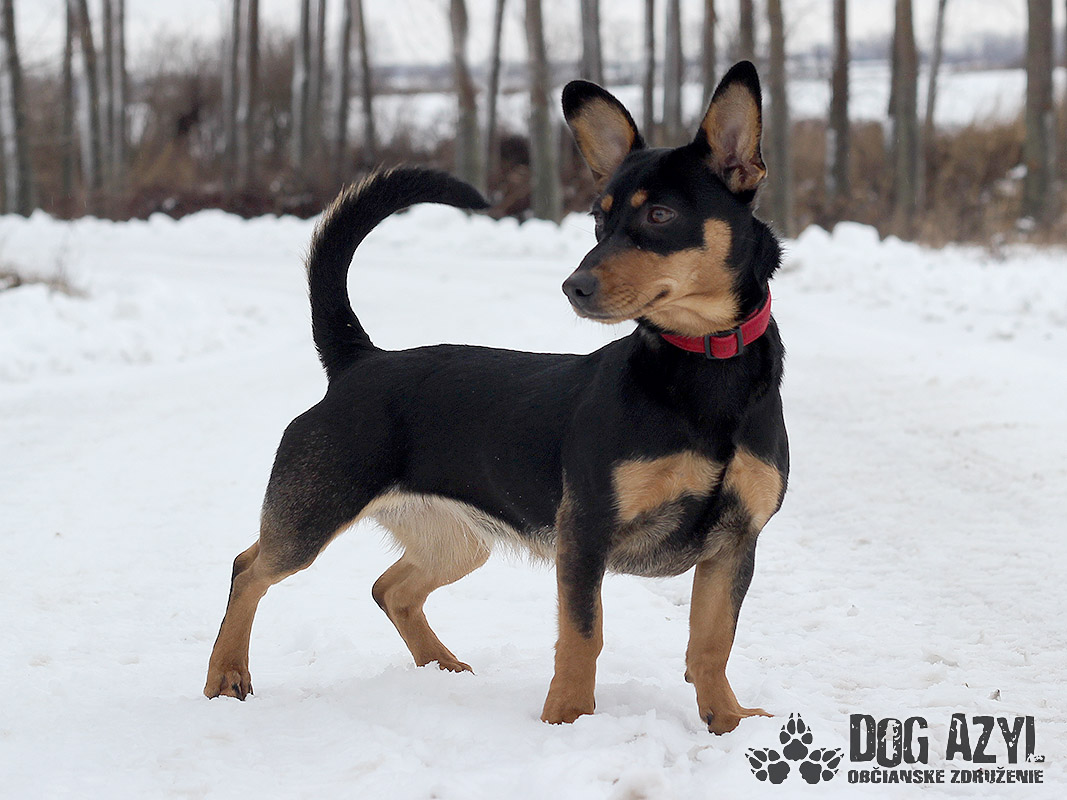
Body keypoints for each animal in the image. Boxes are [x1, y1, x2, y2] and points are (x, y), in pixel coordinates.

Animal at [204, 60, 787, 735]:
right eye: (599, 221)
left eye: (661, 216)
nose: (573, 286)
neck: (703, 371)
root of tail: (359, 362)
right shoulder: (585, 532)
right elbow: (582, 635)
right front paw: (567, 719)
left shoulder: (736, 542)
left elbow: (711, 643)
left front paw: (728, 723)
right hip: (312, 514)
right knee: (249, 569)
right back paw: (226, 676)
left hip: (455, 540)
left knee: (390, 589)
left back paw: (442, 667)